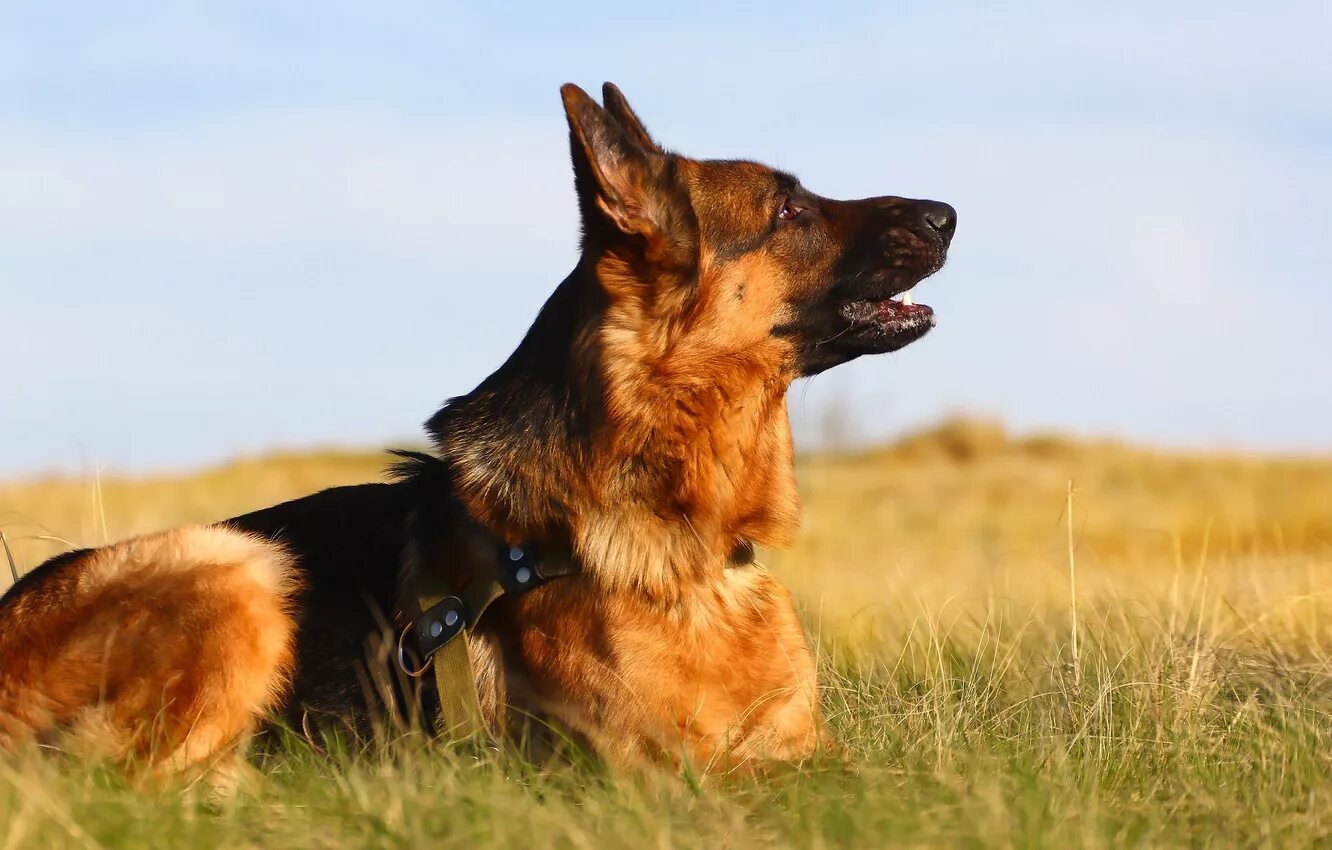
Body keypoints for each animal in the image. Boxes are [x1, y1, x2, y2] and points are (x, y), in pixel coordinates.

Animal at [0, 83, 959, 783]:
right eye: (789, 212)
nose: (948, 213)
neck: (682, 541)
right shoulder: (663, 776)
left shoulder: (809, 752)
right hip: (236, 563)